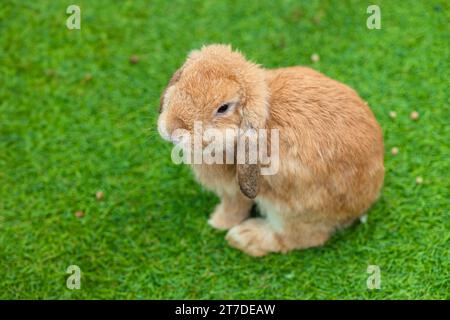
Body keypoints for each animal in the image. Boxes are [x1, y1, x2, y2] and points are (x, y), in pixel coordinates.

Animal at [157, 43, 384, 258]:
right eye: (181, 79)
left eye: (223, 108)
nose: (171, 129)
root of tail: (364, 201)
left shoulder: (234, 191)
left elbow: (233, 208)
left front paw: (218, 222)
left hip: (293, 209)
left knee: (300, 238)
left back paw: (244, 237)